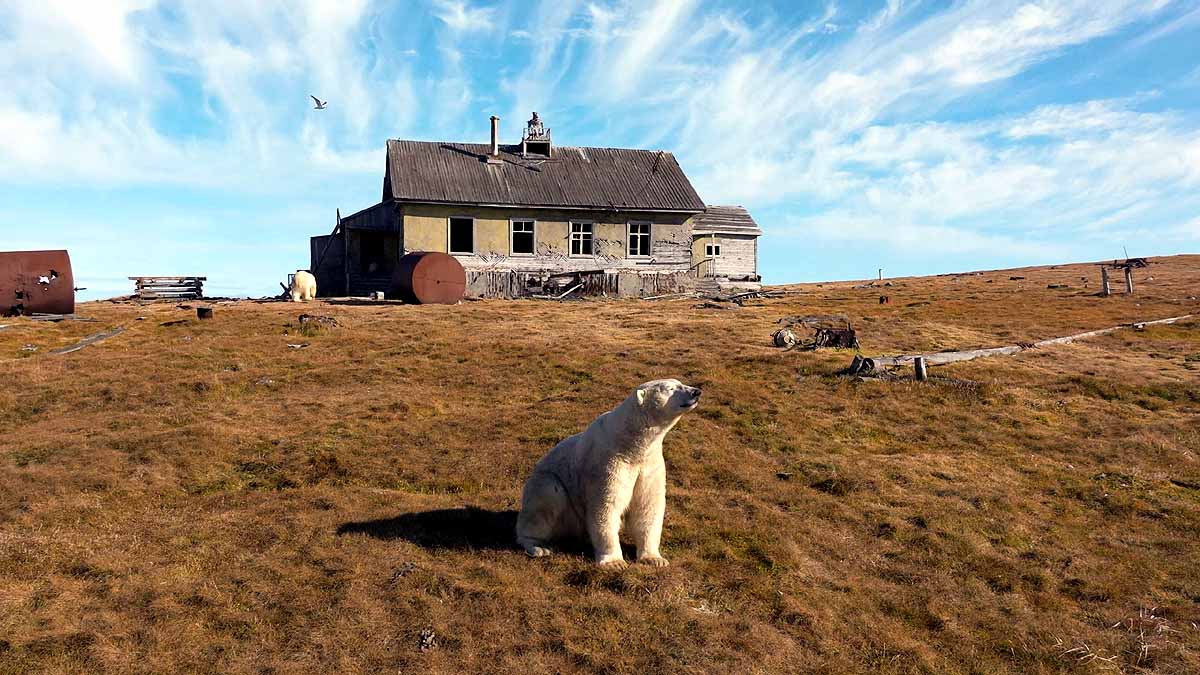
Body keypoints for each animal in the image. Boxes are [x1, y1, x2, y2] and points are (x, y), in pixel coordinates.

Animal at [515, 379, 701, 569]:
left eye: (680, 383)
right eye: (670, 388)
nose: (696, 392)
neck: (630, 442)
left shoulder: (649, 463)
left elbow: (647, 505)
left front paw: (655, 559)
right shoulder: (608, 461)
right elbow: (606, 506)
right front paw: (615, 562)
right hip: (546, 486)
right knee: (546, 501)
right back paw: (539, 547)